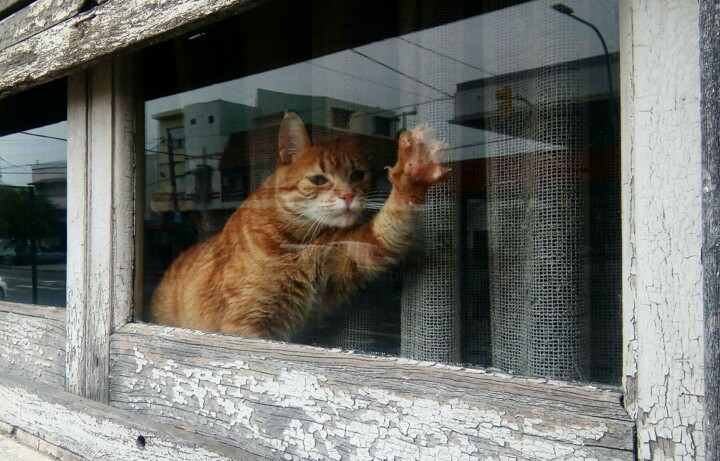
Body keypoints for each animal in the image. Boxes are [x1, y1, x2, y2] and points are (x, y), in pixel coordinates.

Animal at [150, 113, 448, 340]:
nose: (348, 196)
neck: (302, 241)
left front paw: (414, 171)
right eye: (318, 180)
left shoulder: (363, 250)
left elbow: (392, 221)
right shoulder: (249, 323)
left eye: (357, 175)